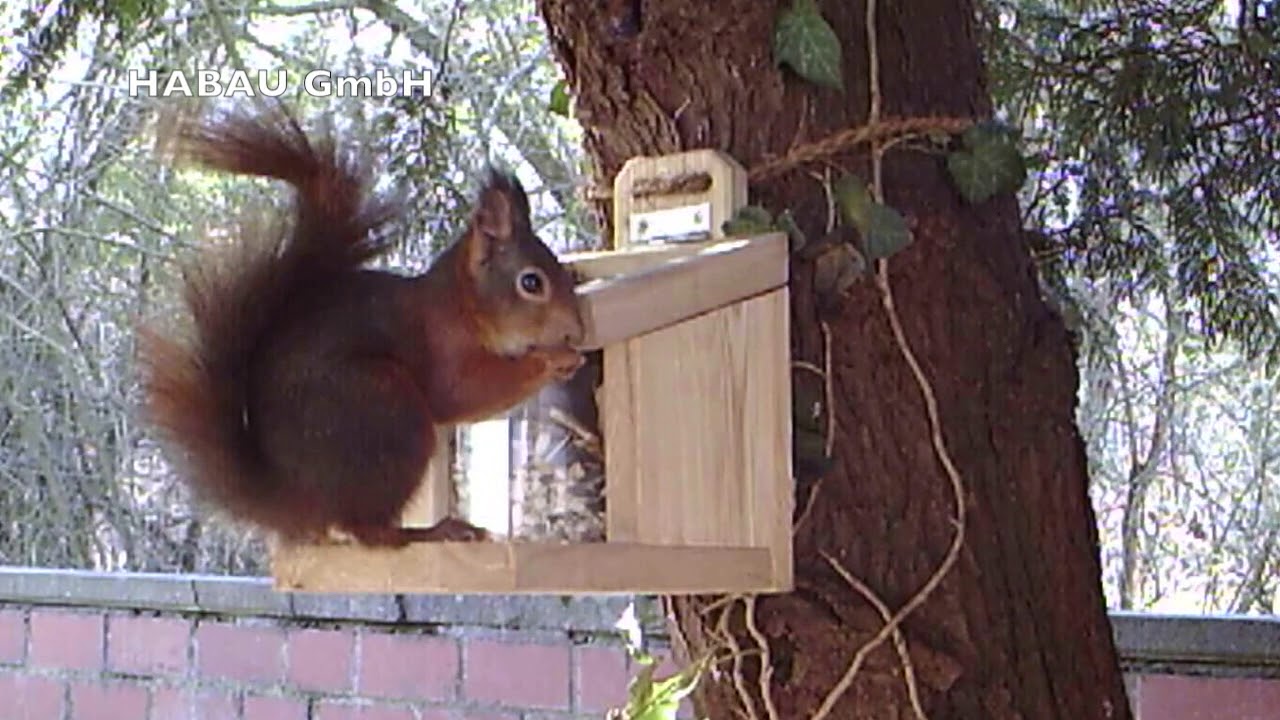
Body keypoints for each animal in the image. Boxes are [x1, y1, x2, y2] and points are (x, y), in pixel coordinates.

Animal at [138, 103, 586, 548]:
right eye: (531, 283)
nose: (577, 330)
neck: (462, 305)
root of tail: (299, 496)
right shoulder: (444, 349)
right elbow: (462, 393)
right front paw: (555, 359)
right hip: (388, 409)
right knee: (369, 531)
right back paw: (435, 530)